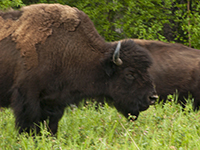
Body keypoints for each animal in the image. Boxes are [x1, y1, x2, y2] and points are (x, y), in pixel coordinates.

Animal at [0, 3, 158, 135]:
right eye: (130, 74)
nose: (152, 97)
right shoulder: (28, 96)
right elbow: (29, 124)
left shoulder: (54, 101)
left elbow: (51, 125)